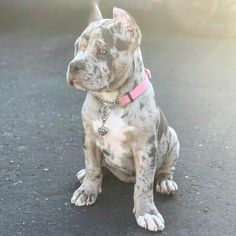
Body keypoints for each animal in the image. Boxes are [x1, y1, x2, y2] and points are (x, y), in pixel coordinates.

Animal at [66, 2, 179, 232]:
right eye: (76, 47)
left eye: (102, 51)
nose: (74, 65)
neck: (111, 102)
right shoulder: (89, 138)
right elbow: (92, 166)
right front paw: (87, 189)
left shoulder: (145, 149)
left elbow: (144, 184)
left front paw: (146, 212)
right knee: (100, 168)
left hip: (173, 138)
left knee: (165, 169)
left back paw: (165, 182)